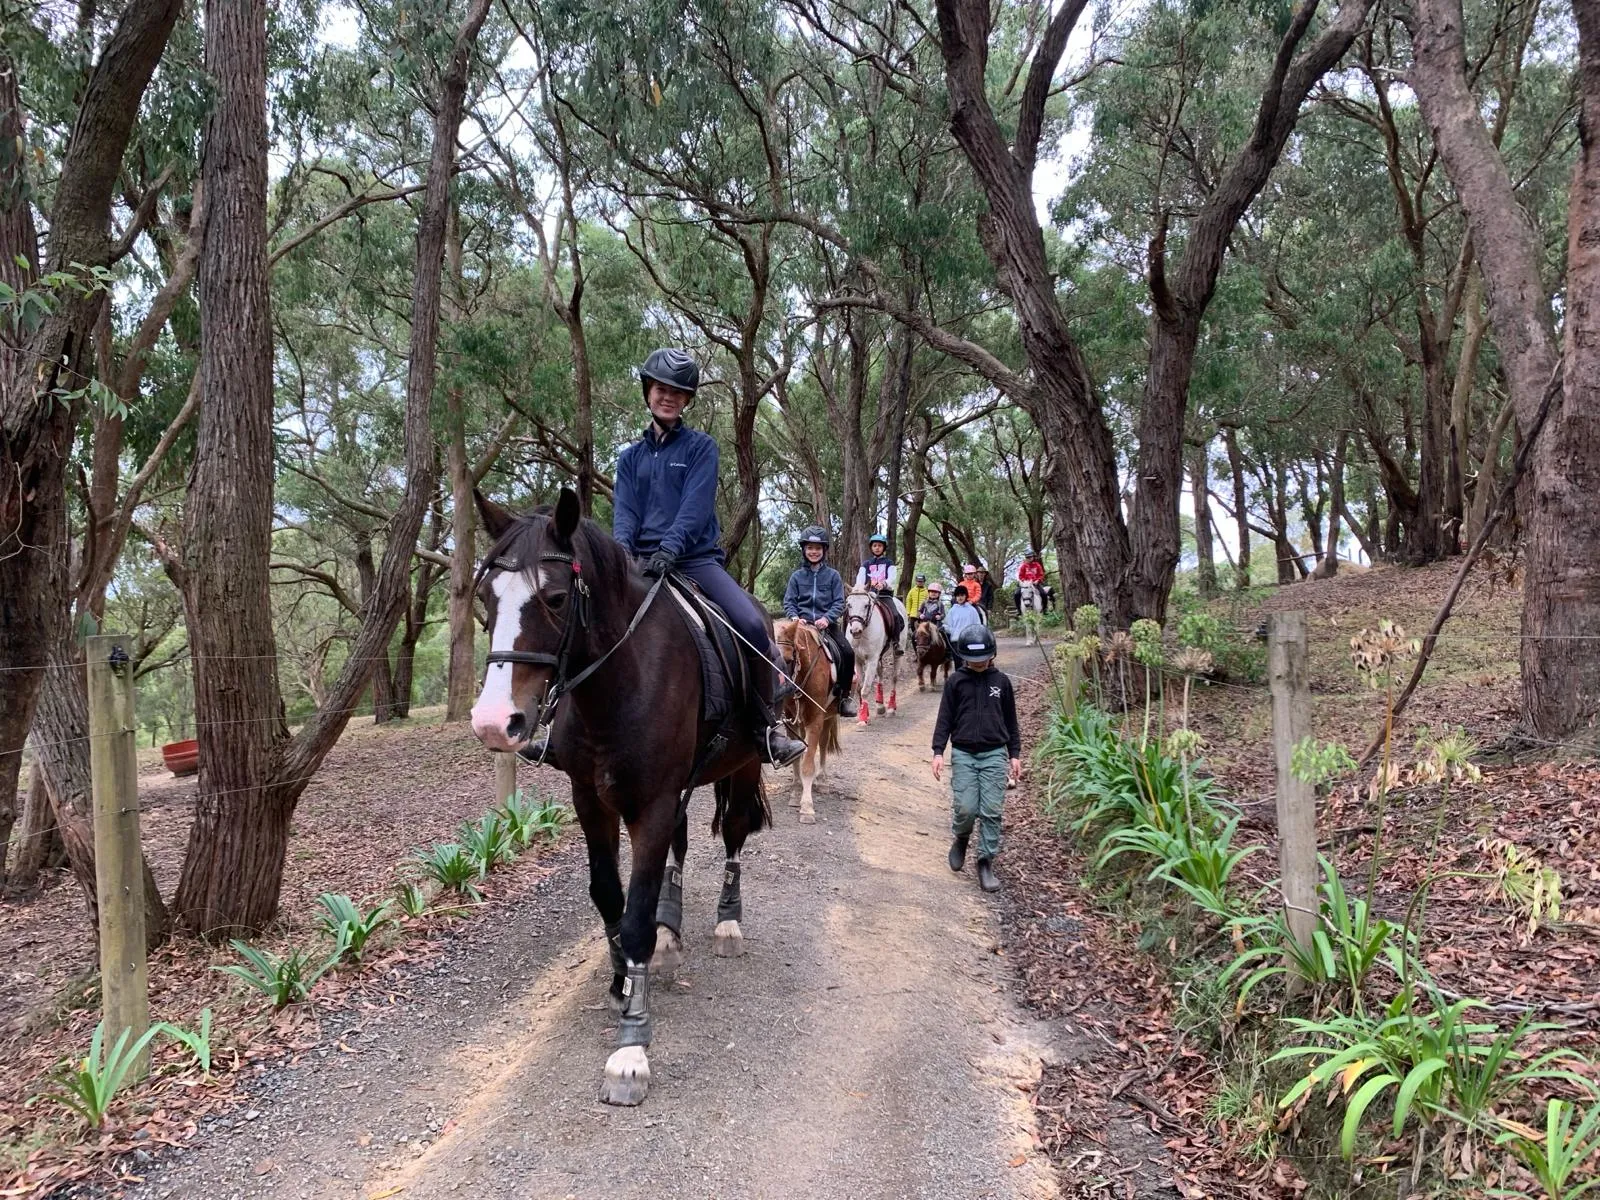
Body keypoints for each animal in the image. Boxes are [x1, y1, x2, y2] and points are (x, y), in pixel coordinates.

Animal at [467, 489, 771, 1107]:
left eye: (556, 599)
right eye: (486, 598)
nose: (493, 723)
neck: (619, 682)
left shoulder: (650, 805)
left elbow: (633, 917)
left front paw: (631, 1045)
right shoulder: (591, 800)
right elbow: (609, 895)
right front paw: (621, 980)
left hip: (745, 765)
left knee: (734, 834)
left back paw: (727, 924)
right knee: (681, 846)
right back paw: (671, 932)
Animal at [771, 620, 838, 825]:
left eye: (788, 659)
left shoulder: (815, 720)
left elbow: (808, 765)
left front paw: (807, 807)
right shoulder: (791, 721)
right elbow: (796, 758)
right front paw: (795, 793)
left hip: (829, 716)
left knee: (823, 745)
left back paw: (822, 781)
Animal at [844, 585, 908, 723]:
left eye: (866, 605)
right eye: (849, 604)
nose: (855, 631)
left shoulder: (872, 660)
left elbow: (866, 688)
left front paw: (863, 718)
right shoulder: (857, 660)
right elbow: (860, 687)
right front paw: (864, 711)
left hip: (898, 653)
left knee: (894, 678)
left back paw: (891, 708)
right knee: (880, 674)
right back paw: (880, 706)